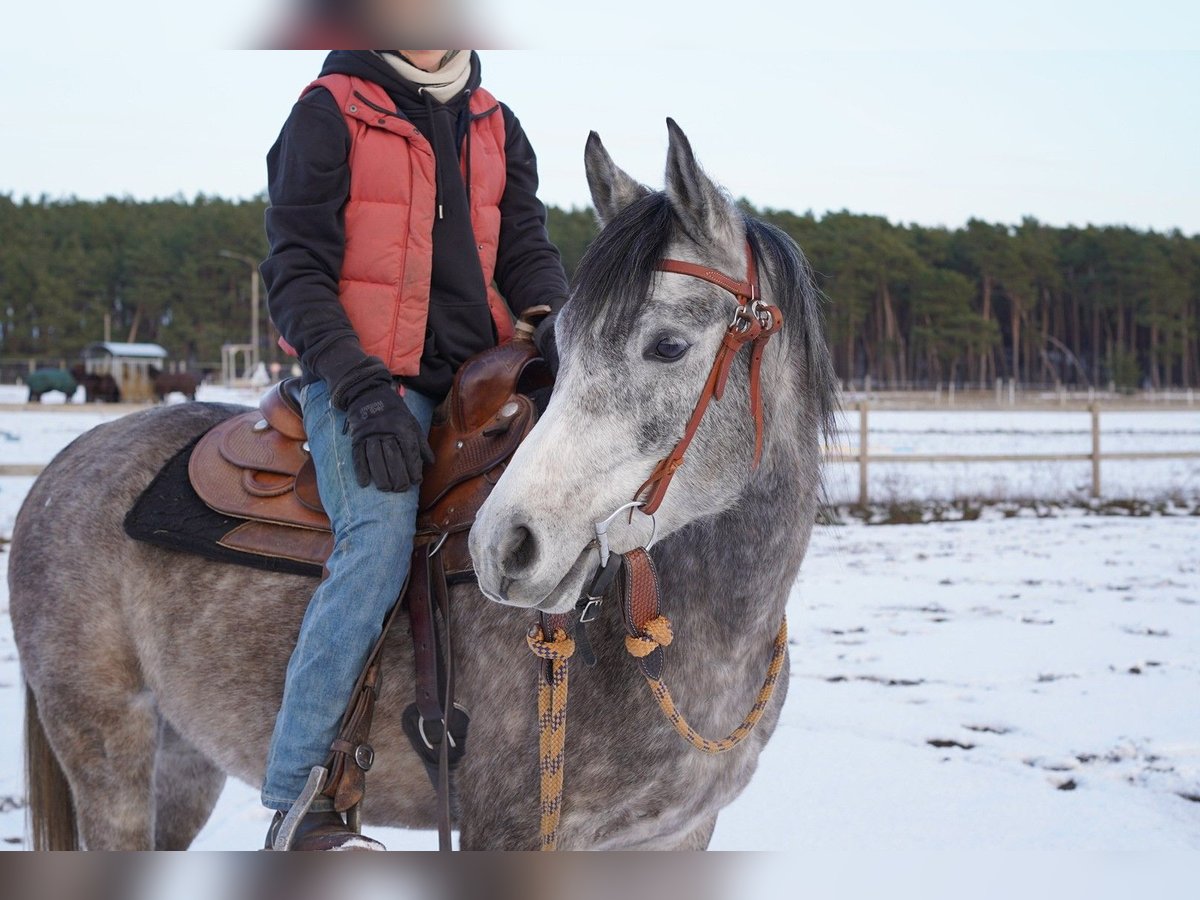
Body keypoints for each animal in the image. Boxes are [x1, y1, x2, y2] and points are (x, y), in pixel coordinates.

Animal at [9, 121, 835, 854]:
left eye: (667, 346)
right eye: (565, 347)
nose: (506, 545)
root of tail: (63, 467)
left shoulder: (679, 834)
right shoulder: (510, 831)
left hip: (184, 761)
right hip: (107, 745)